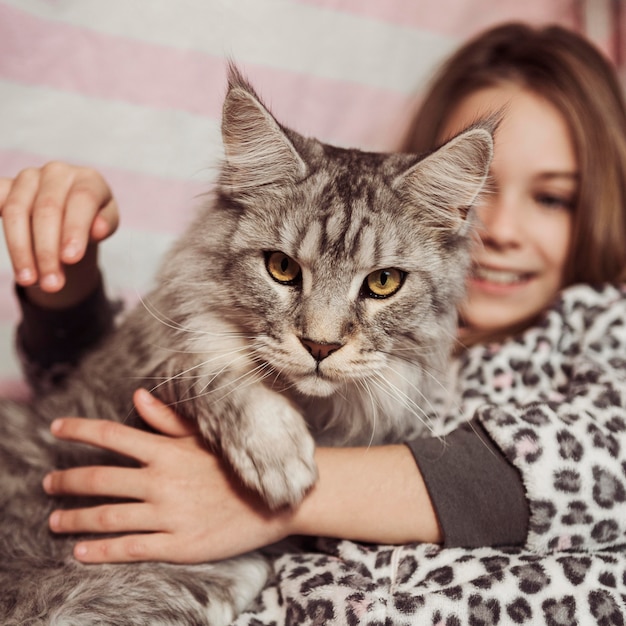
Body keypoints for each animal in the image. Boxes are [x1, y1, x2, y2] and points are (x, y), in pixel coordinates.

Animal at [0, 66, 492, 620]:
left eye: (383, 282)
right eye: (281, 268)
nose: (320, 346)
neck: (315, 414)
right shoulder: (155, 362)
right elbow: (212, 371)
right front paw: (279, 460)